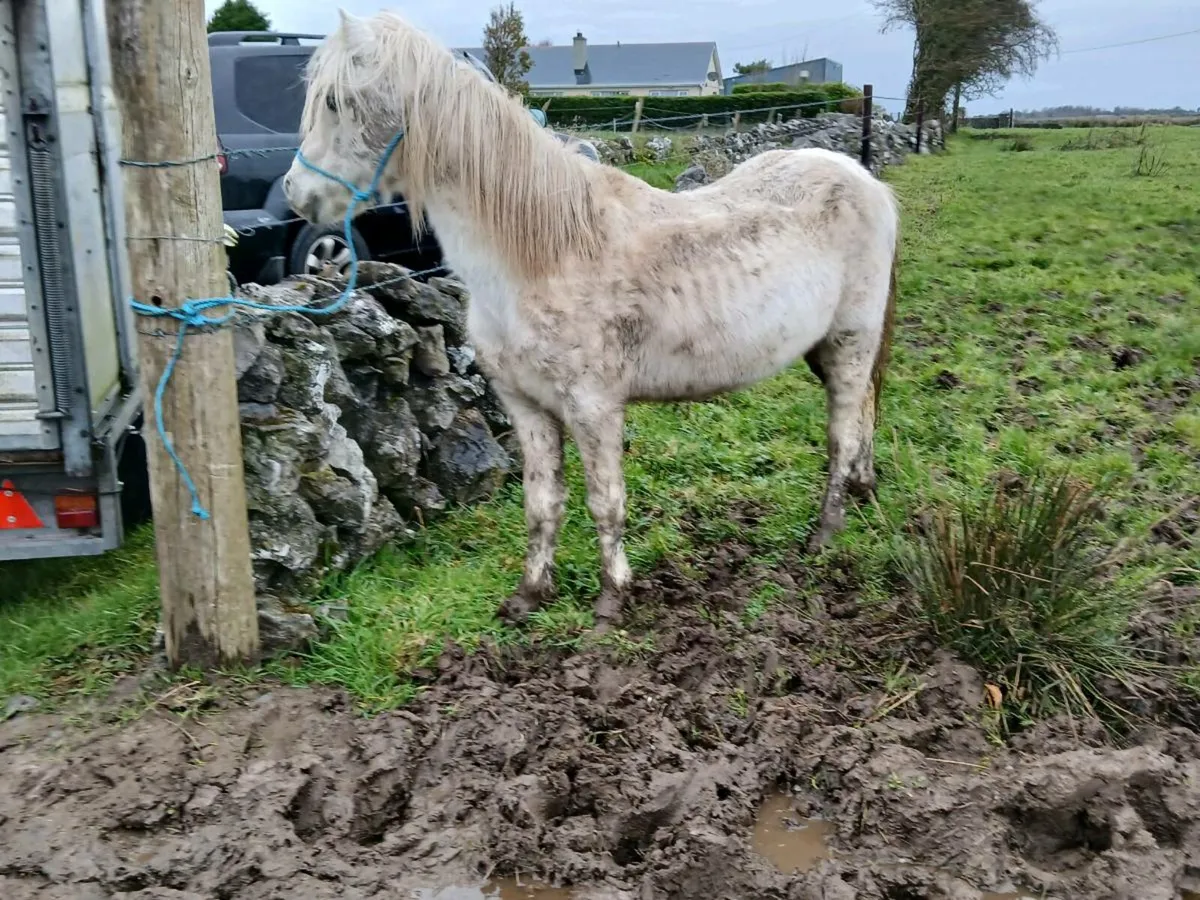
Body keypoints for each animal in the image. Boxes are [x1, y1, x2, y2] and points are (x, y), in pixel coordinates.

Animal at [283, 10, 901, 631]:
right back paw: (864, 493)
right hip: (827, 349)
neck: (542, 252)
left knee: (842, 432)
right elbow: (541, 503)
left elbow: (606, 501)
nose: (296, 193)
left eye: (334, 100)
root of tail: (864, 179)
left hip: (850, 342)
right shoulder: (526, 407)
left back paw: (824, 534)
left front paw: (611, 600)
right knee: (866, 413)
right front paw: (530, 595)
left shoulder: (594, 406)